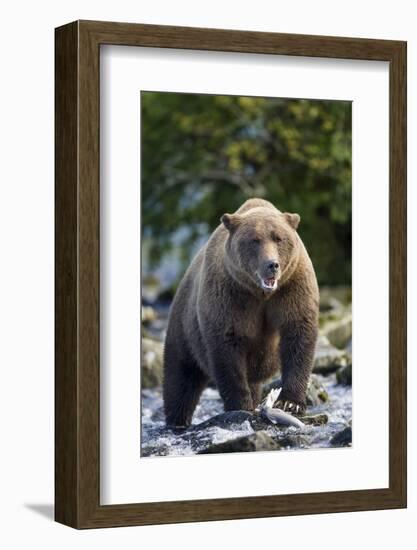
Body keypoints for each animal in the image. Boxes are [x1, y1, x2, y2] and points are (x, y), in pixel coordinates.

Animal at [162, 199, 318, 432]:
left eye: (278, 238)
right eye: (254, 240)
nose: (272, 265)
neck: (260, 293)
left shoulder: (292, 287)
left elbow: (298, 334)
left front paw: (291, 403)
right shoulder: (230, 297)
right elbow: (228, 349)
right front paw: (240, 405)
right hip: (183, 328)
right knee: (181, 377)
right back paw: (177, 420)